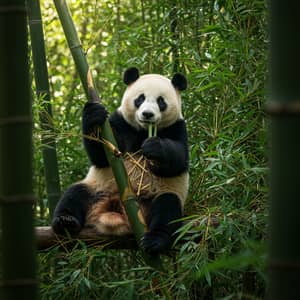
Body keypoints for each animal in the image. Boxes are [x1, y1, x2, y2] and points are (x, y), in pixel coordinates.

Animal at [50, 67, 189, 254]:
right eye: (140, 98)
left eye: (161, 101)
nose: (147, 114)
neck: (143, 130)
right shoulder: (120, 122)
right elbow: (101, 155)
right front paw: (93, 114)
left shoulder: (177, 127)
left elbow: (178, 160)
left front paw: (154, 147)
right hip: (98, 188)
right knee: (75, 193)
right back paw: (65, 221)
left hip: (157, 197)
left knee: (167, 208)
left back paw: (155, 240)